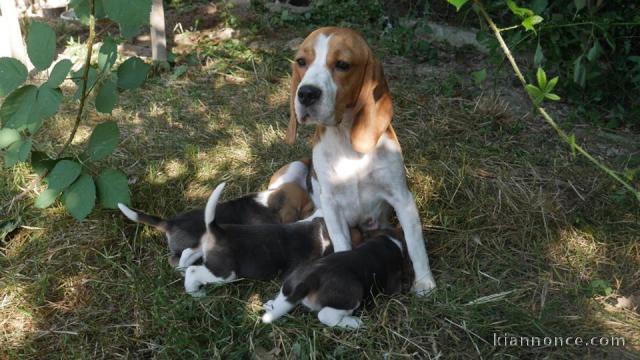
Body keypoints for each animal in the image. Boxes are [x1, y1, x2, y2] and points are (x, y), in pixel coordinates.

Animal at [181, 181, 336, 296]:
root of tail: (217, 229)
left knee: (187, 253)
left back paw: (181, 269)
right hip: (225, 274)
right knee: (193, 272)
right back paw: (196, 293)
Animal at [258, 231, 400, 330]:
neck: (383, 245)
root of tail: (311, 278)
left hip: (292, 279)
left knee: (283, 296)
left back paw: (271, 305)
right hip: (352, 295)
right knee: (325, 316)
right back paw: (353, 323)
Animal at [288, 27, 438, 296]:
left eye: (342, 64)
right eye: (301, 62)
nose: (306, 93)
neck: (346, 141)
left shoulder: (402, 199)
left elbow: (415, 244)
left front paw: (424, 282)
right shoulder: (331, 204)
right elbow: (341, 242)